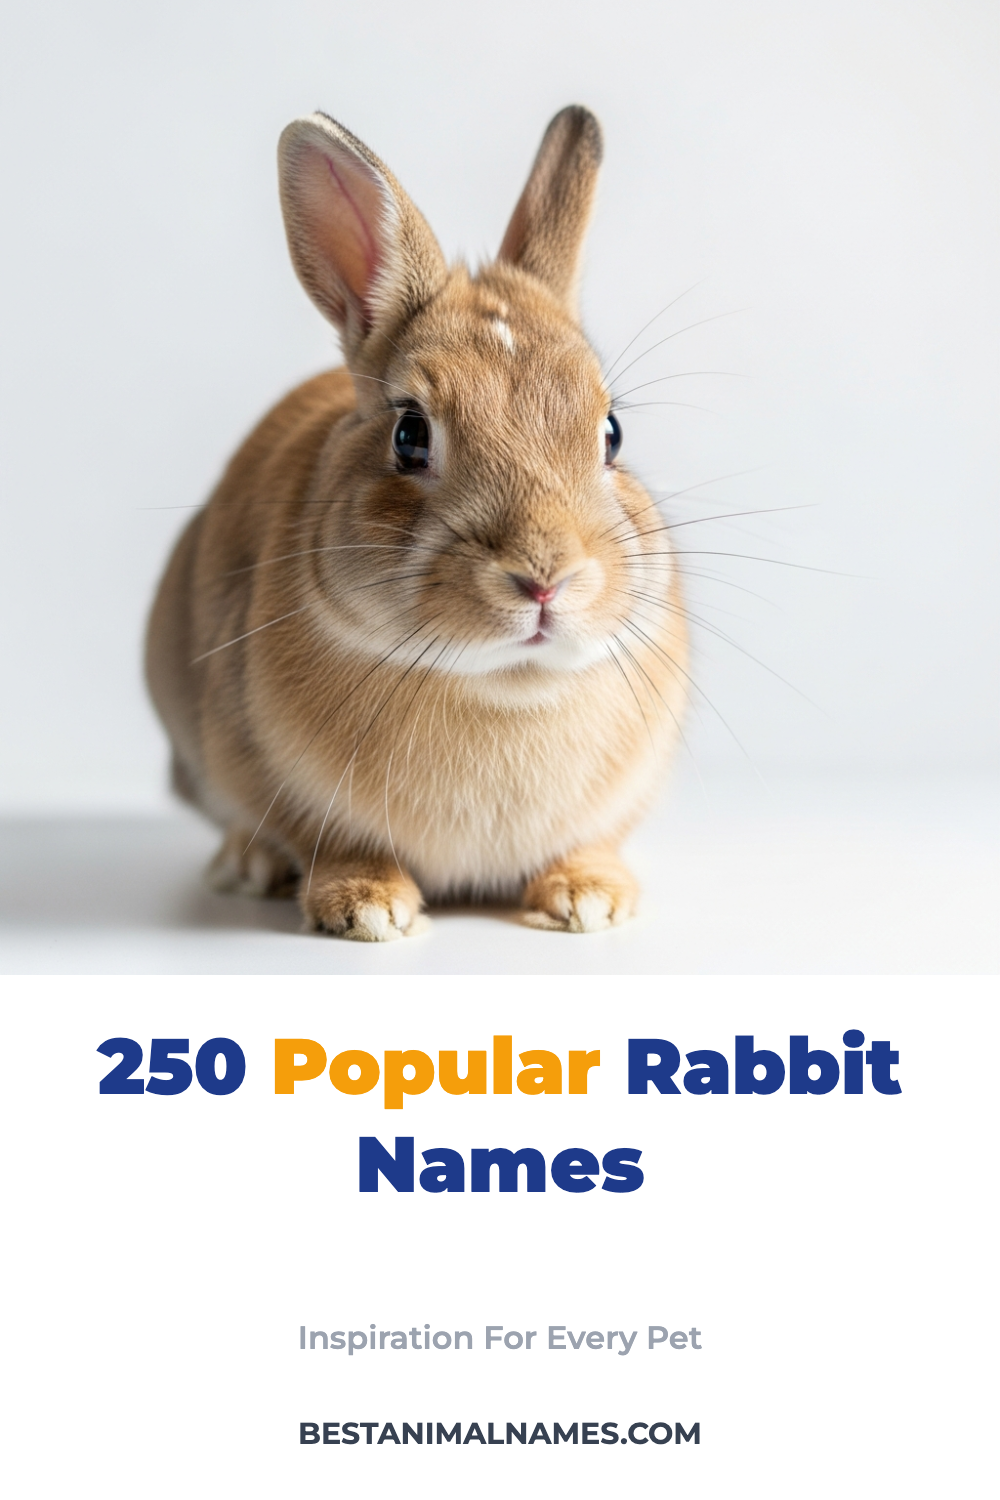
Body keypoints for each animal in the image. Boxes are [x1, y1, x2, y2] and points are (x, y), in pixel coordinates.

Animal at [145, 104, 688, 940]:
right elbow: (329, 839)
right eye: (409, 435)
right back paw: (248, 866)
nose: (546, 578)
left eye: (612, 432)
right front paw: (366, 909)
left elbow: (593, 842)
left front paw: (589, 900)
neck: (505, 685)